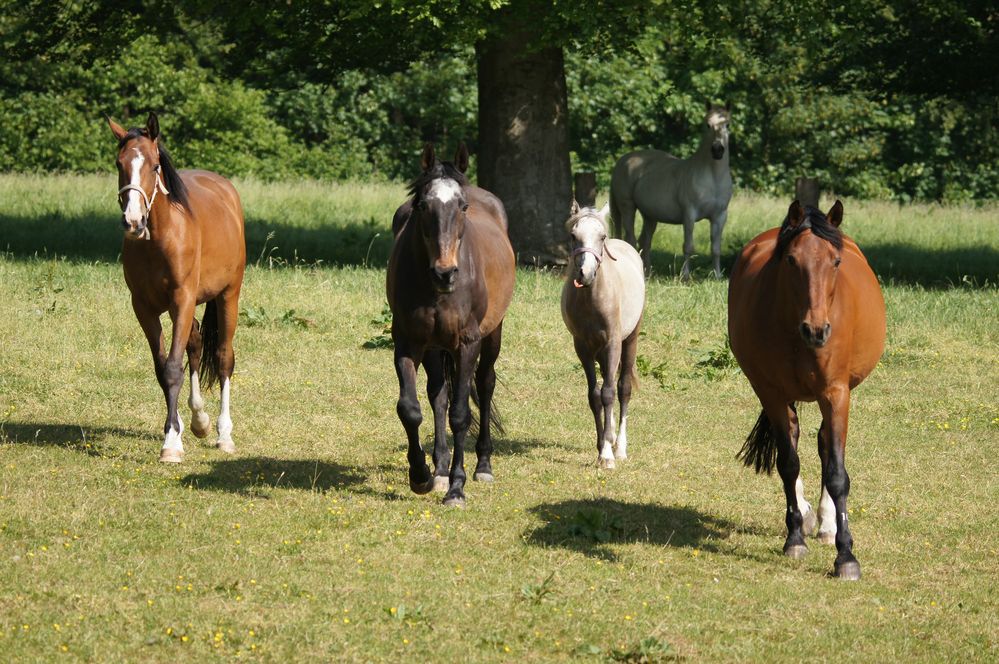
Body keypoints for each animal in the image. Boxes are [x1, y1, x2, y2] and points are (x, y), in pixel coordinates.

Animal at [107, 113, 246, 462]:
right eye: (119, 163)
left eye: (155, 165)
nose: (133, 221)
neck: (160, 238)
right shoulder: (144, 308)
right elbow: (163, 368)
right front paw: (178, 429)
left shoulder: (182, 300)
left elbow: (172, 367)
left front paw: (171, 443)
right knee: (195, 344)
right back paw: (199, 420)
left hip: (228, 295)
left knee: (223, 357)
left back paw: (224, 434)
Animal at [386, 143, 516, 508]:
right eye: (422, 206)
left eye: (462, 206)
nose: (445, 273)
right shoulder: (407, 342)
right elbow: (410, 409)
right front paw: (421, 475)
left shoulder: (467, 343)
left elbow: (460, 415)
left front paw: (458, 488)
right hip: (434, 346)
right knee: (438, 395)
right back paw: (440, 469)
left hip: (492, 335)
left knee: (484, 384)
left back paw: (482, 465)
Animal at [564, 201, 648, 466]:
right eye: (574, 236)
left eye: (602, 237)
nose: (585, 273)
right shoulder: (582, 347)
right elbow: (594, 395)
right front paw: (601, 445)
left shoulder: (612, 344)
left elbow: (610, 393)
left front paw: (608, 455)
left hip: (630, 341)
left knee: (623, 388)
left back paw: (619, 447)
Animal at [608, 104, 736, 280]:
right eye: (707, 125)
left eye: (728, 125)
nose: (717, 150)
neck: (713, 177)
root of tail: (623, 160)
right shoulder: (689, 214)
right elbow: (688, 246)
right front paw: (686, 277)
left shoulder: (720, 217)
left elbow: (716, 249)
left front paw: (717, 276)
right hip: (627, 207)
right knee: (631, 240)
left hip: (650, 216)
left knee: (644, 241)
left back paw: (647, 273)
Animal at [732, 200, 888, 580]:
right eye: (791, 260)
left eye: (835, 261)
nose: (817, 330)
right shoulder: (772, 393)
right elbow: (788, 463)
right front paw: (794, 539)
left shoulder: (836, 393)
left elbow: (837, 473)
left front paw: (846, 555)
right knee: (794, 438)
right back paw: (803, 515)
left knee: (823, 445)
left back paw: (828, 523)